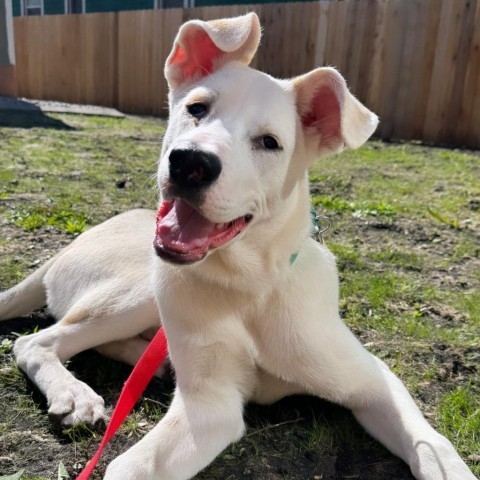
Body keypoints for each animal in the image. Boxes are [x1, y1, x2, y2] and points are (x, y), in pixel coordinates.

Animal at [0, 12, 474, 480]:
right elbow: (127, 467)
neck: (250, 285)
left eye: (269, 142)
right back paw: (76, 392)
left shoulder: (374, 380)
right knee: (35, 343)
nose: (190, 162)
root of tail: (64, 249)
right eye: (196, 109)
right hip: (139, 290)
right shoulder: (210, 405)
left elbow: (432, 446)